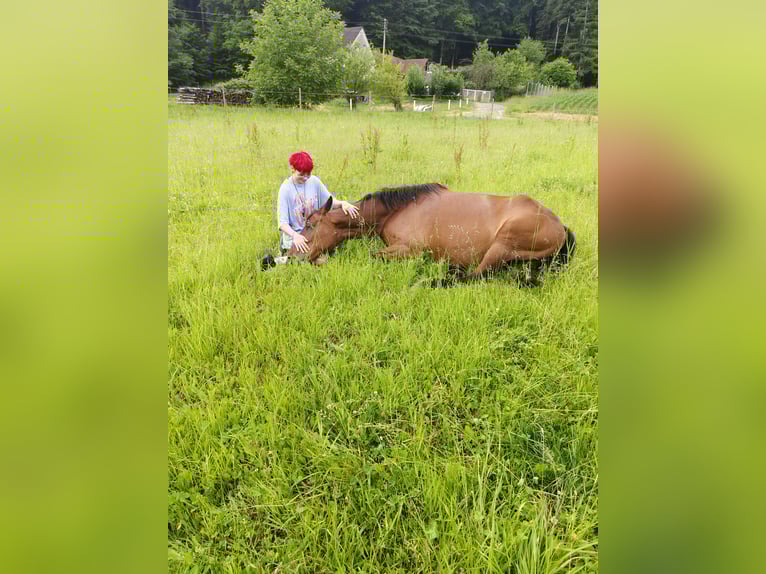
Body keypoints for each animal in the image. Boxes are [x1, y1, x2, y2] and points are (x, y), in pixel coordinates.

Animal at [287, 184, 576, 284]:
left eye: (311, 225)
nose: (290, 257)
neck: (397, 210)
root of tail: (560, 226)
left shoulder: (409, 252)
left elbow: (373, 256)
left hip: (502, 244)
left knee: (474, 276)